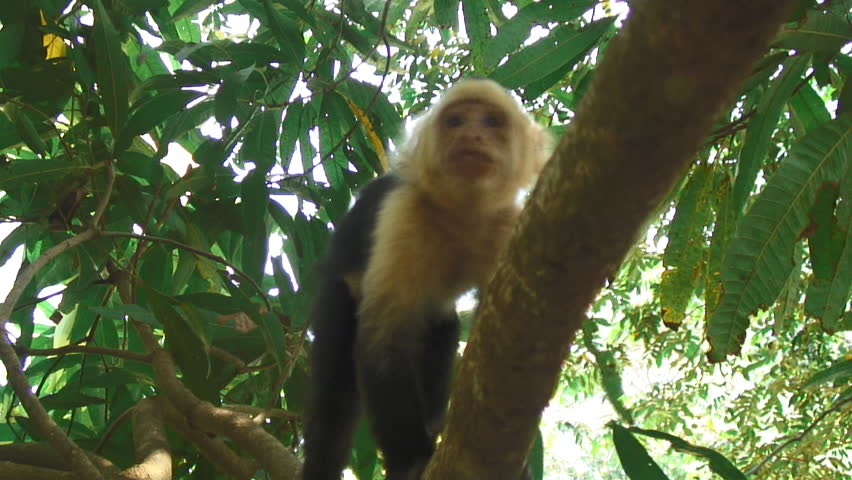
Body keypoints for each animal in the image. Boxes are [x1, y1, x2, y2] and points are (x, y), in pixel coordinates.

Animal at [301, 78, 550, 480]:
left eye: (492, 122)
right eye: (455, 122)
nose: (471, 134)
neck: (463, 212)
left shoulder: (508, 226)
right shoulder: (403, 211)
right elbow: (382, 342)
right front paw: (412, 459)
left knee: (442, 330)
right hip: (338, 287)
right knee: (334, 399)